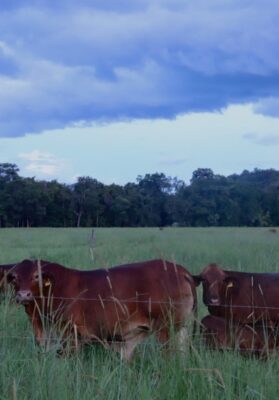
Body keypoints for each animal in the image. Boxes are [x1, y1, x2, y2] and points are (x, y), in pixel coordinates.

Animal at [8, 258, 197, 360]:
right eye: (15, 277)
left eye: (36, 276)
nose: (23, 295)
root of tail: (181, 270)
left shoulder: (71, 334)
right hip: (181, 330)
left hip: (165, 330)